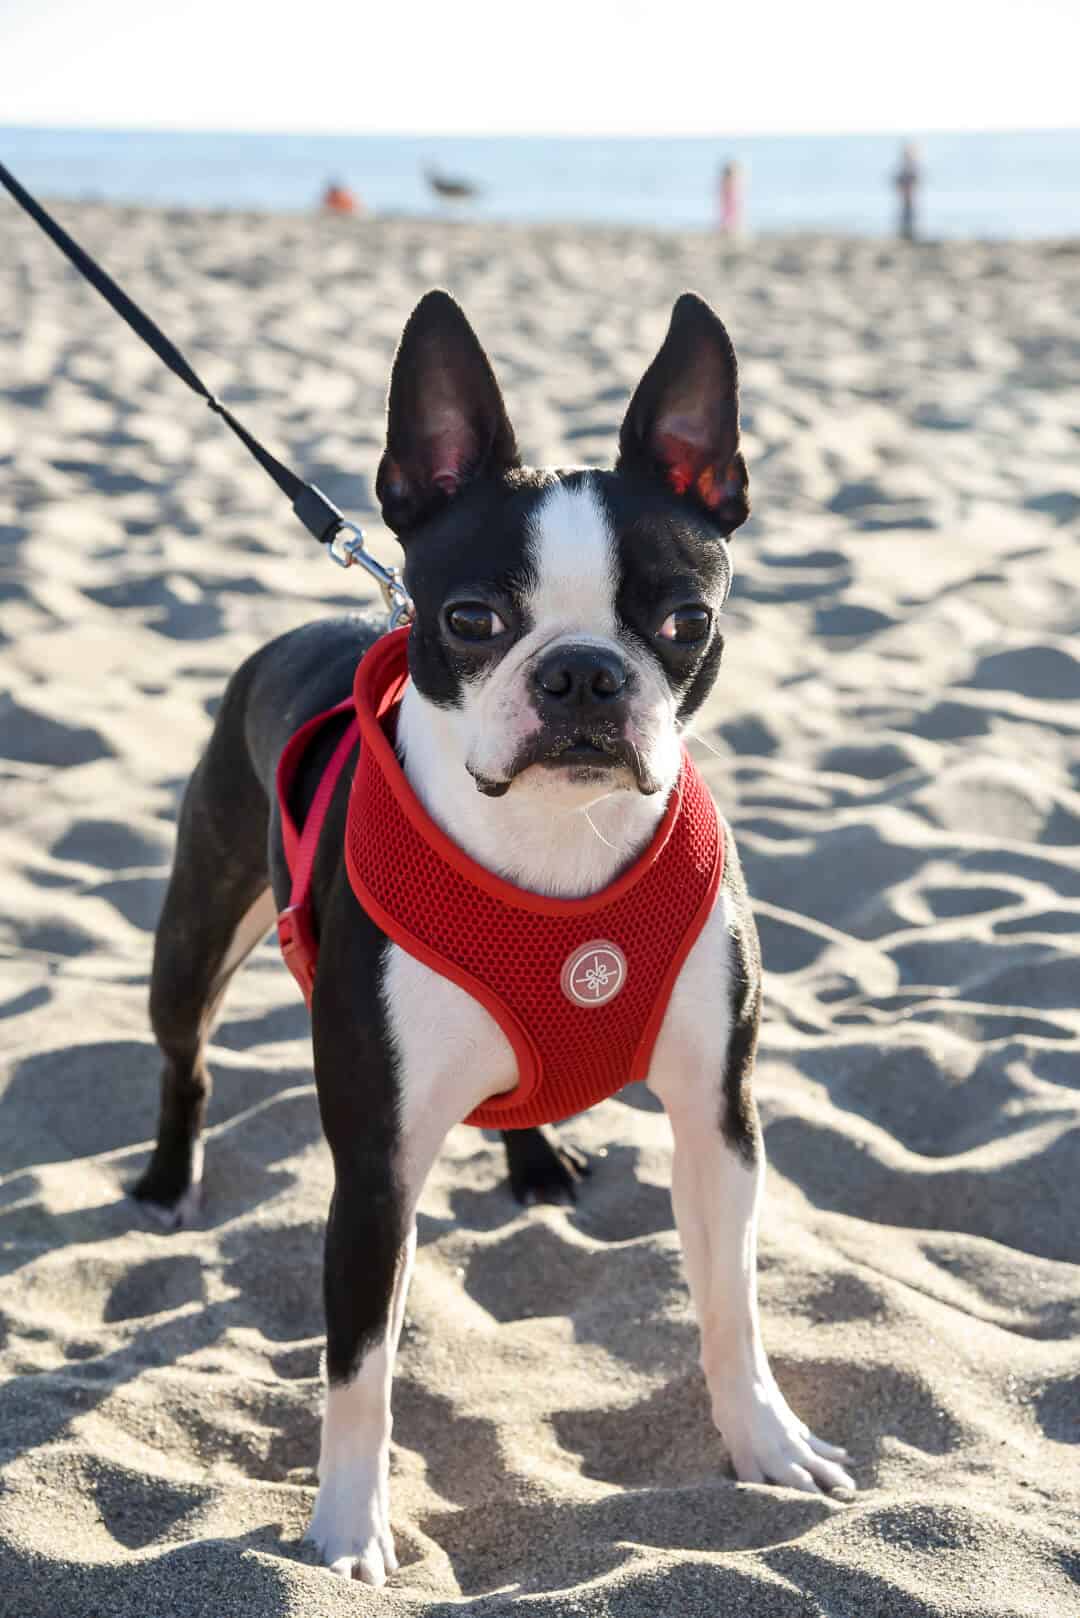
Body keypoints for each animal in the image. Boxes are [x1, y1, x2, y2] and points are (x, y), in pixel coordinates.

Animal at [135, 288, 854, 1579]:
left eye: (685, 620)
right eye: (470, 619)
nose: (581, 674)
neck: (556, 847)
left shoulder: (720, 1121)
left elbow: (732, 1306)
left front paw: (767, 1444)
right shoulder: (374, 1168)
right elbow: (359, 1368)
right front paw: (347, 1533)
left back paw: (534, 1159)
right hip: (196, 926)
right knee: (188, 1056)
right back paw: (171, 1181)